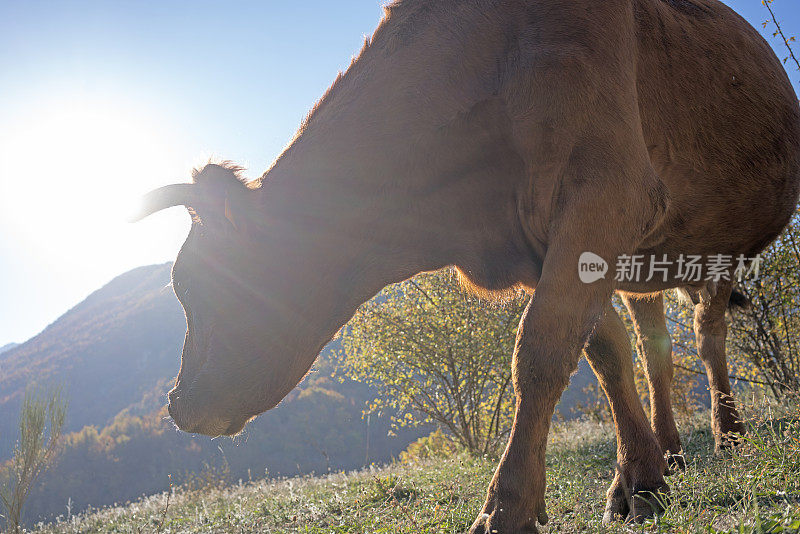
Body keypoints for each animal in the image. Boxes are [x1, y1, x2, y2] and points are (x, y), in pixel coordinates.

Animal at [133, 0, 800, 532]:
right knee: (655, 346)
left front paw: (507, 509)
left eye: (197, 286)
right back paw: (672, 451)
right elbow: (604, 352)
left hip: (716, 253)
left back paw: (729, 435)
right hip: (646, 267)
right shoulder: (545, 246)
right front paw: (640, 480)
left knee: (707, 337)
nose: (180, 406)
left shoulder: (609, 195)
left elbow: (539, 351)